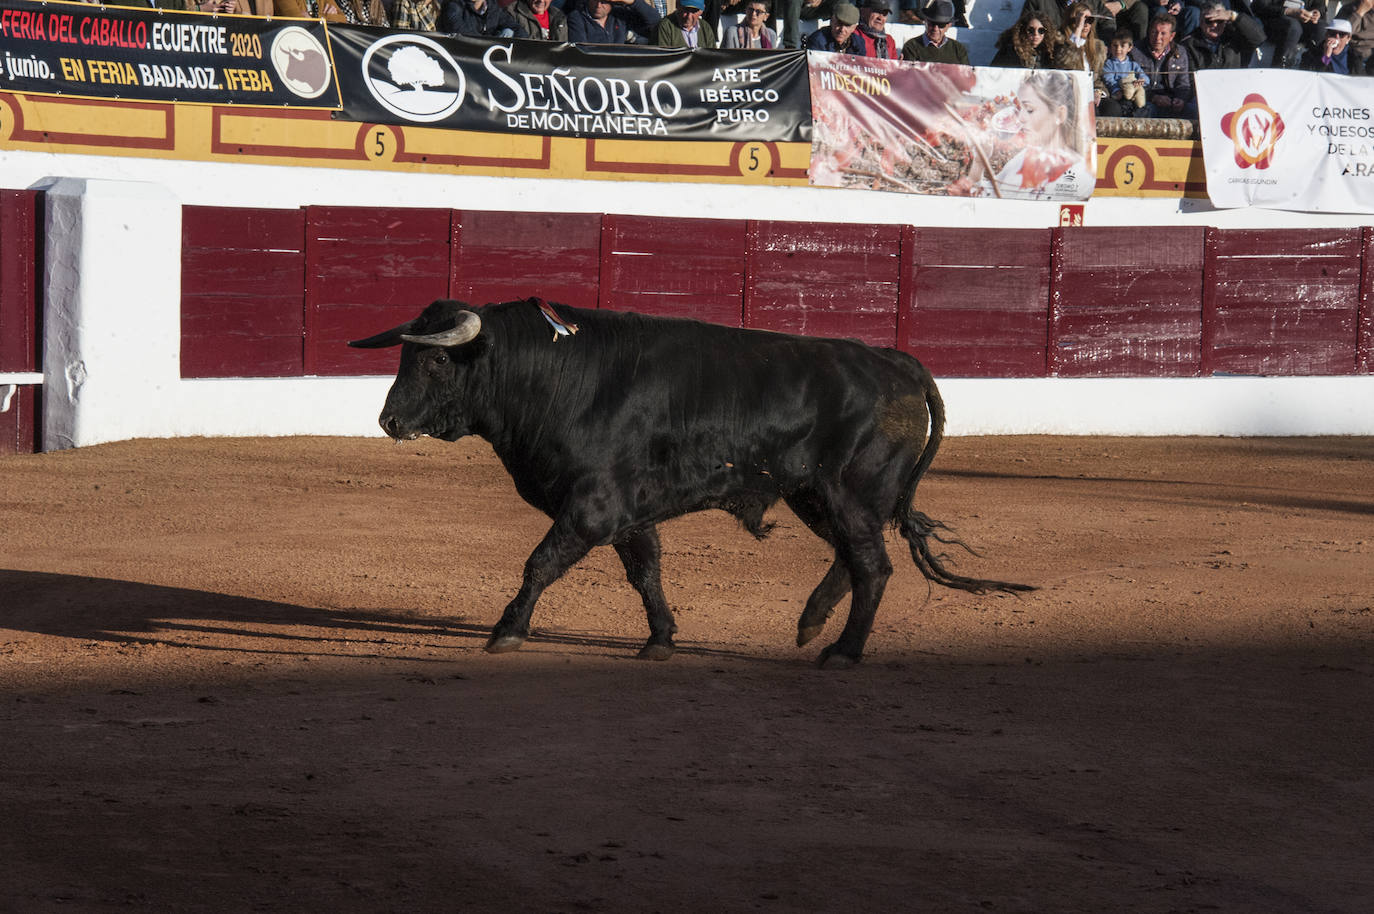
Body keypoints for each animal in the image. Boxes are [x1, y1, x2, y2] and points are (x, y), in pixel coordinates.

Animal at [348, 298, 1027, 662]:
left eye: (436, 360)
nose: (388, 420)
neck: (555, 376)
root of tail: (897, 361)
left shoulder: (592, 505)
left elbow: (540, 563)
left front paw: (507, 630)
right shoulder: (628, 511)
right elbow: (645, 572)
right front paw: (662, 639)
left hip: (848, 493)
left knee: (873, 566)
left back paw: (842, 650)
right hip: (816, 495)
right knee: (853, 560)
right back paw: (810, 624)